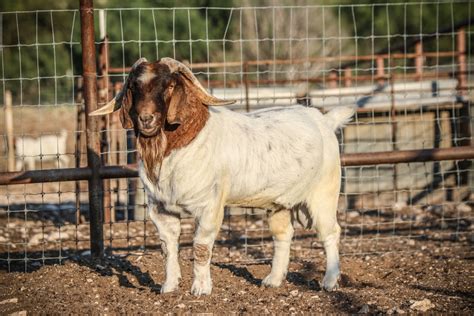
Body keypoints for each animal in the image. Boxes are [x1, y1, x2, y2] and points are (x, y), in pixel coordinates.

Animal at [90, 57, 354, 296]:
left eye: (170, 85)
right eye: (134, 86)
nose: (146, 119)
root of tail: (324, 120)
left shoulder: (209, 206)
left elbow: (201, 247)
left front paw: (200, 289)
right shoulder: (160, 208)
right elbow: (168, 247)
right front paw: (169, 287)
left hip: (324, 193)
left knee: (330, 232)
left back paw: (330, 282)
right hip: (278, 203)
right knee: (283, 235)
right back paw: (272, 280)